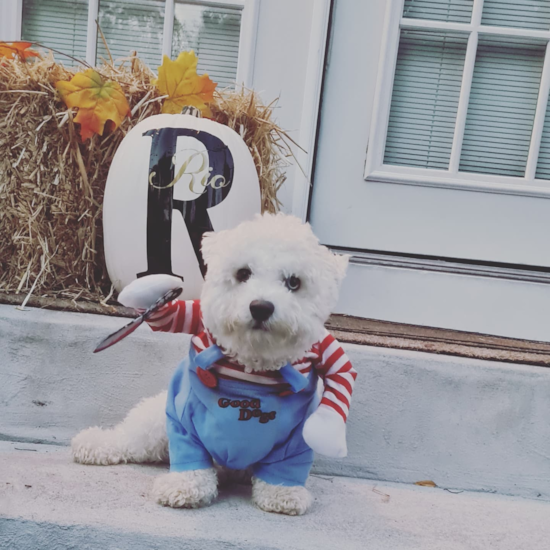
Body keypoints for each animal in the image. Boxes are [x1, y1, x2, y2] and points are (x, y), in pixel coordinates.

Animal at [73, 212, 358, 516]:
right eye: (243, 273)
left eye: (294, 282)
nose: (261, 307)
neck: (251, 370)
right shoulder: (183, 421)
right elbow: (191, 461)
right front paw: (184, 487)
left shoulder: (296, 440)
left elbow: (285, 469)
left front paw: (283, 494)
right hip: (154, 421)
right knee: (130, 439)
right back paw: (93, 443)